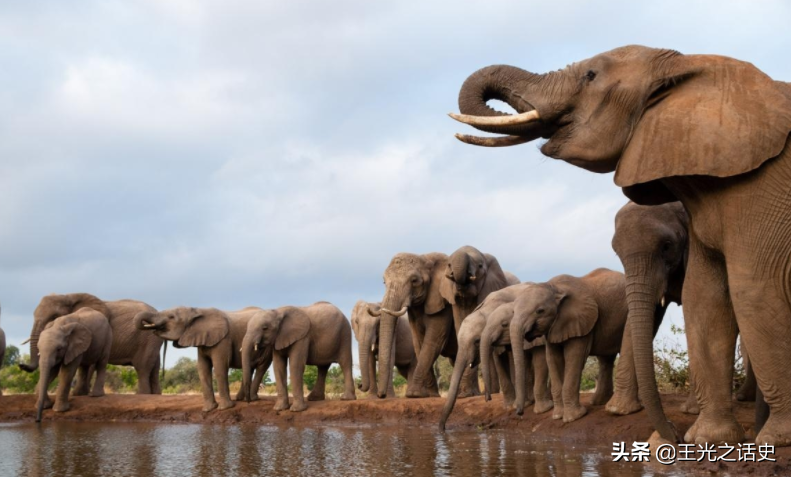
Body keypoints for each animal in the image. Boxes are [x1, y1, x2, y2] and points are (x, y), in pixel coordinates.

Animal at [22, 294, 164, 394]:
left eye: (54, 316)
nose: (21, 365)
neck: (68, 296)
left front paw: (78, 393)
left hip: (147, 338)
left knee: (142, 368)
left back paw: (142, 394)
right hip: (153, 341)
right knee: (154, 368)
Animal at [135, 306, 270, 410]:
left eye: (171, 317)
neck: (197, 311)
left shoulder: (223, 339)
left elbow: (220, 367)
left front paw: (225, 408)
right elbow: (202, 369)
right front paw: (208, 409)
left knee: (261, 368)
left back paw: (251, 399)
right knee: (249, 367)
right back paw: (241, 399)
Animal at [440, 282, 552, 432]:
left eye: (477, 341)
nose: (487, 398)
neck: (489, 308)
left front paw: (516, 405)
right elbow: (499, 359)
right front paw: (510, 406)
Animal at [510, 270, 628, 422]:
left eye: (540, 311)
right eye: (513, 312)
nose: (520, 413)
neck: (554, 287)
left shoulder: (581, 322)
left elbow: (574, 356)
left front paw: (574, 417)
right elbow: (553, 358)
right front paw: (557, 416)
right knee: (606, 359)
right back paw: (598, 402)